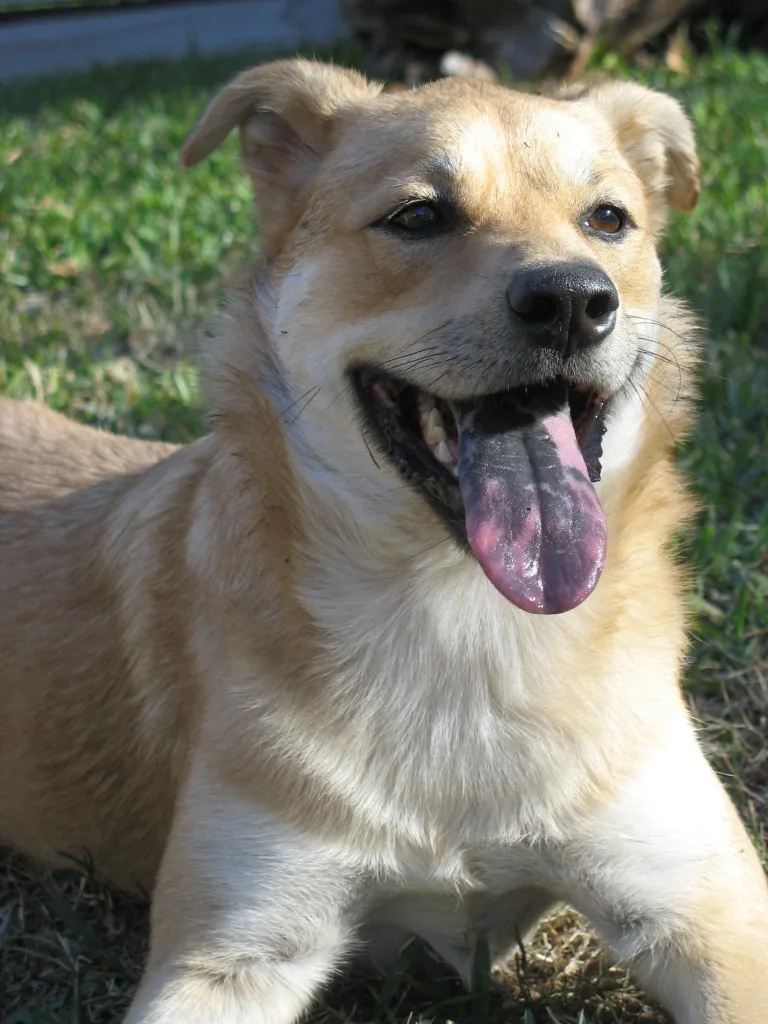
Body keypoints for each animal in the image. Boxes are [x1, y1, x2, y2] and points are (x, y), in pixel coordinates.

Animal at [1, 59, 768, 1019]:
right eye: (418, 216)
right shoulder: (231, 953)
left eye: (608, 219)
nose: (572, 300)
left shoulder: (708, 914)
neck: (463, 621)